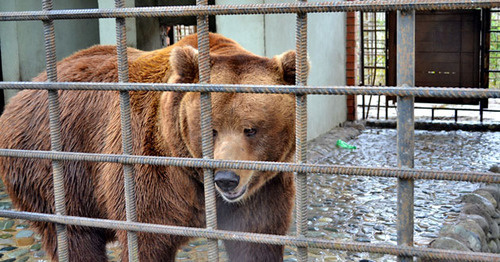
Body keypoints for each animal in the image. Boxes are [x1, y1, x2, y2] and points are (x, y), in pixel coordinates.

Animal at [0, 33, 302, 262]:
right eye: (210, 130)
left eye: (250, 129)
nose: (227, 179)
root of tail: (22, 92)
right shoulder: (149, 168)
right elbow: (148, 242)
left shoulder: (264, 189)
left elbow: (257, 240)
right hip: (52, 171)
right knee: (74, 238)